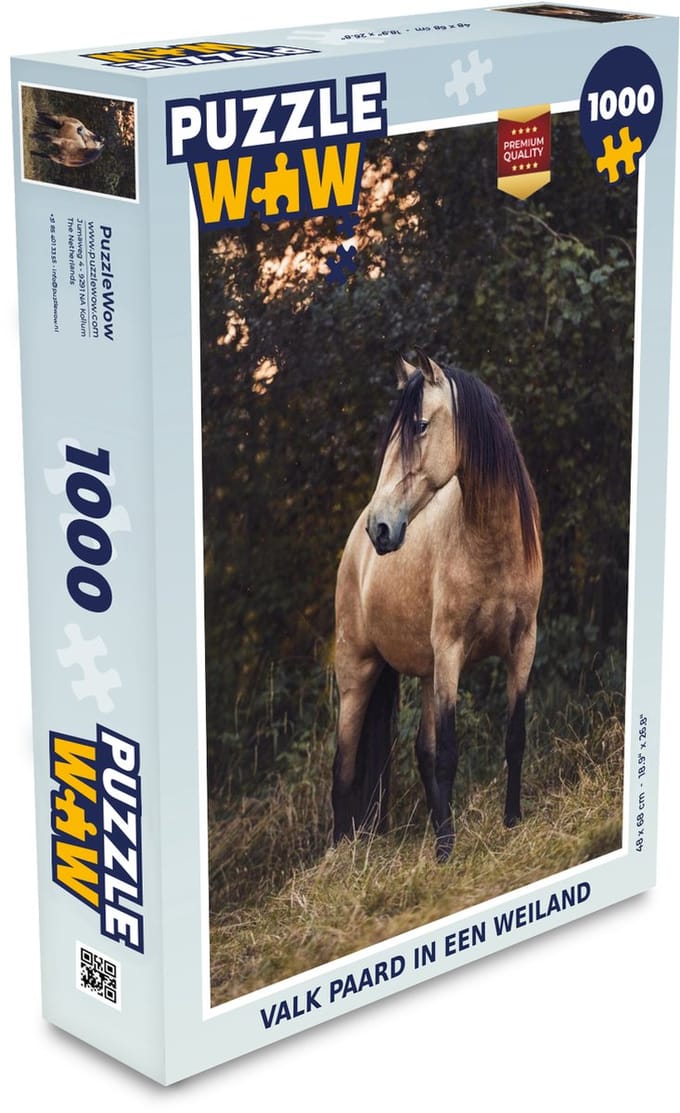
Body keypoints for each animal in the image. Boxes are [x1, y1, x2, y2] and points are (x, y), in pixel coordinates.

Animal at [332, 349, 542, 862]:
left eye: (421, 426)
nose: (380, 527)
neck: (491, 544)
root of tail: (354, 550)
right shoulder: (451, 653)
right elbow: (448, 753)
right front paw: (451, 851)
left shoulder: (523, 645)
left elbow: (514, 737)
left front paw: (511, 822)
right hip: (357, 674)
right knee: (343, 768)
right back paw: (343, 859)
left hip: (425, 673)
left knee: (419, 754)